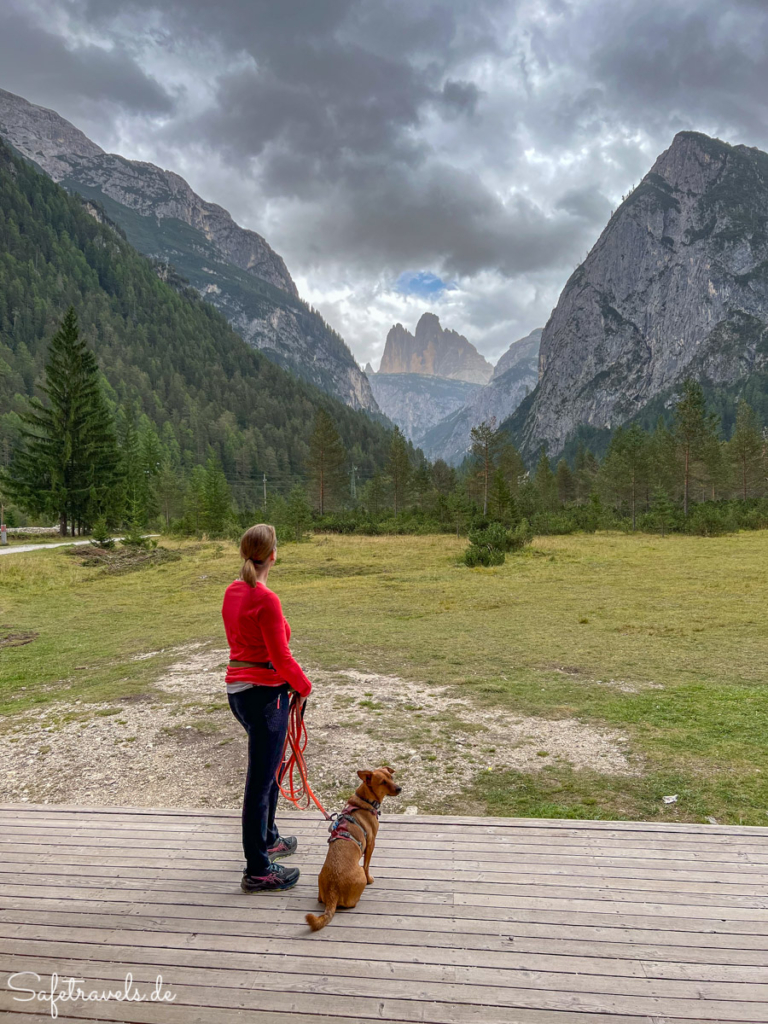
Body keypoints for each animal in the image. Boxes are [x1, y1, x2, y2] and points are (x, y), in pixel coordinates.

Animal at [307, 770, 403, 929]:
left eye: (391, 777)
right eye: (383, 782)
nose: (399, 788)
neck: (364, 800)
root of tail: (333, 890)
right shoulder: (371, 844)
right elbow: (367, 866)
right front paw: (370, 879)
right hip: (359, 877)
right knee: (352, 902)